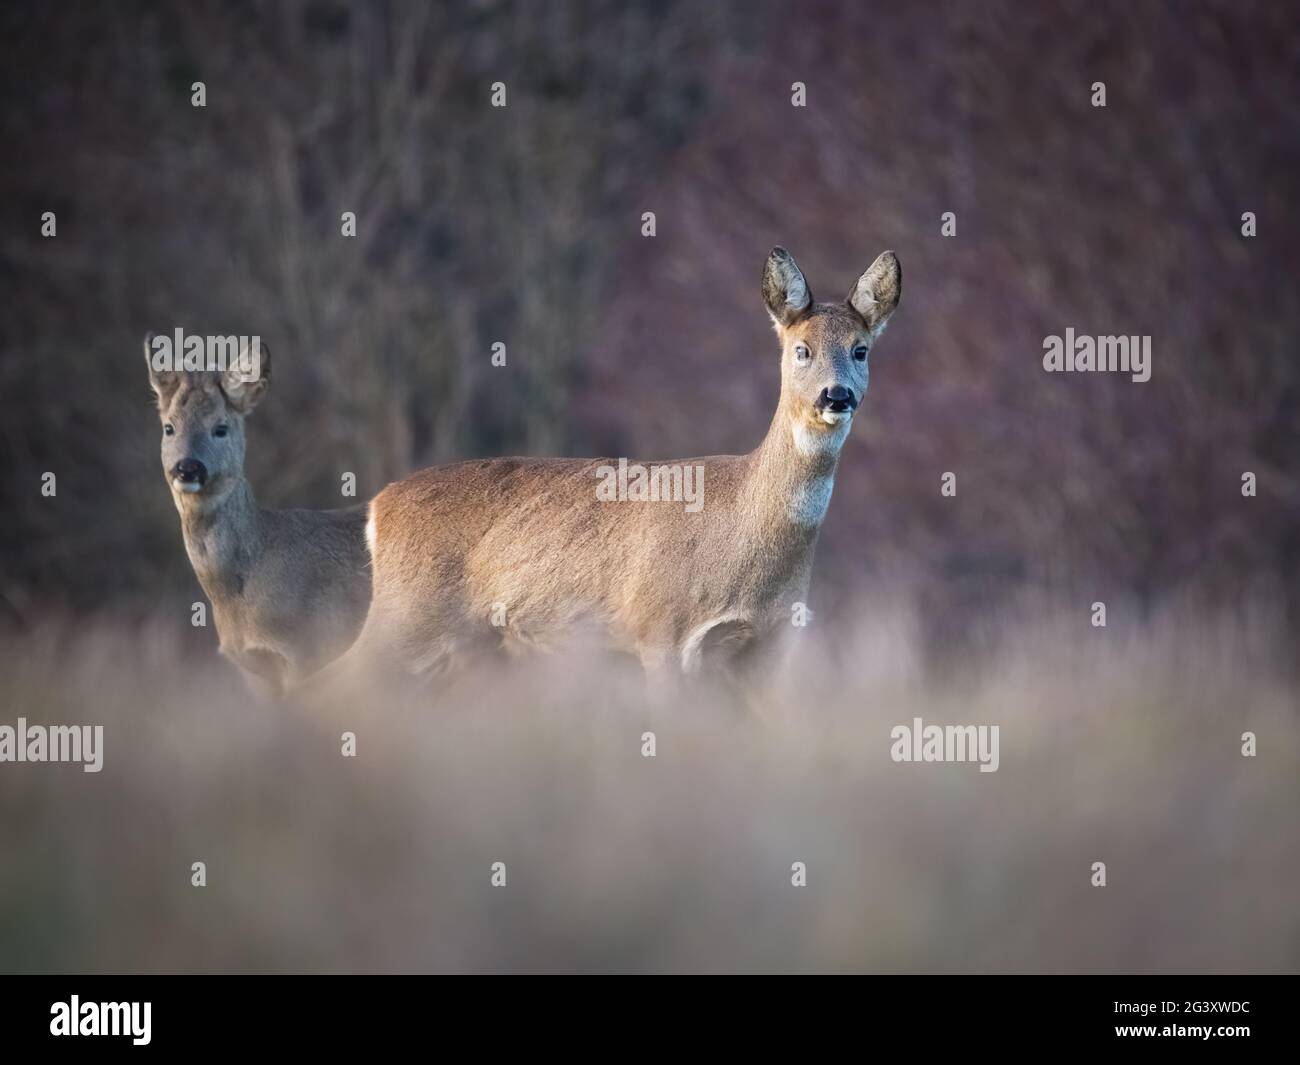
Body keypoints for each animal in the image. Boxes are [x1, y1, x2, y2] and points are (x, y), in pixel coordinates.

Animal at [340, 249, 899, 696]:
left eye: (860, 349)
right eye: (801, 349)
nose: (836, 395)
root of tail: (379, 506)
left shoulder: (769, 651)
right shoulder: (659, 630)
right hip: (407, 614)